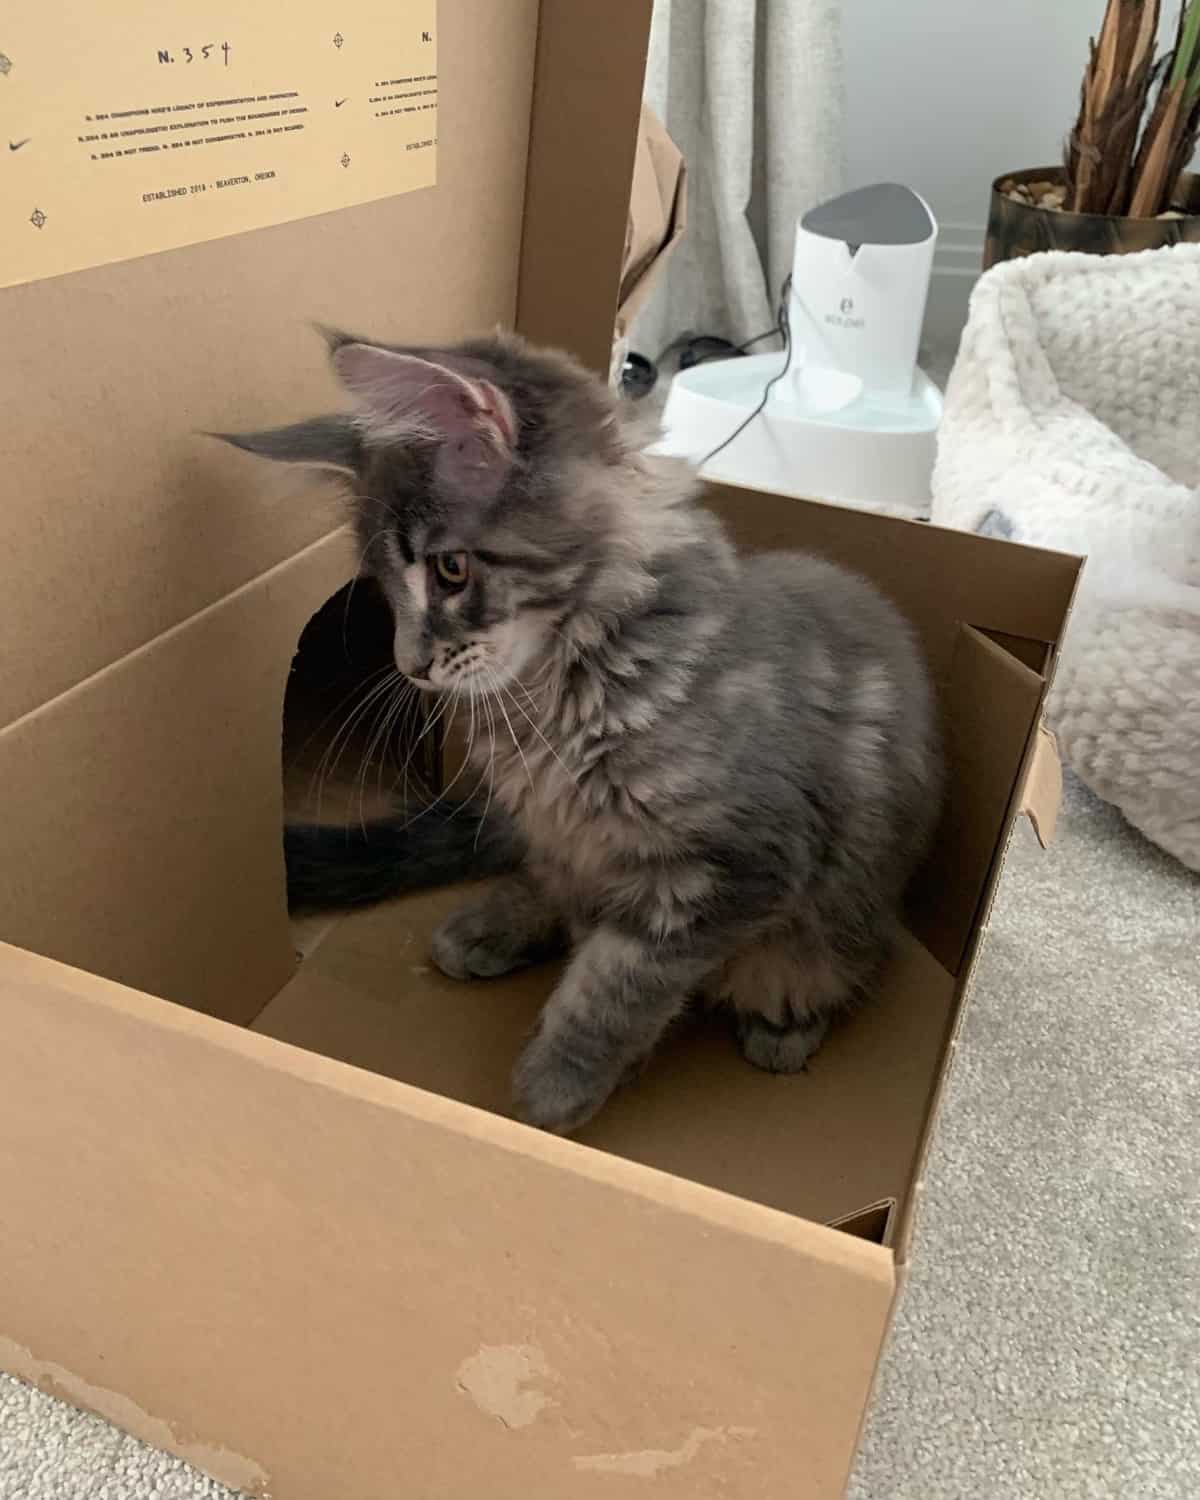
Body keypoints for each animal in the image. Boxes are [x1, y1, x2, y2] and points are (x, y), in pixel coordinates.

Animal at [220, 325, 942, 1128]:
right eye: (381, 585)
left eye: (450, 570)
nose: (411, 665)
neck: (553, 706)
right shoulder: (572, 837)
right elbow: (574, 906)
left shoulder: (731, 870)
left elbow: (613, 986)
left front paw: (553, 1091)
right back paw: (488, 927)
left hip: (839, 916)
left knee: (824, 962)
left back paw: (785, 1024)